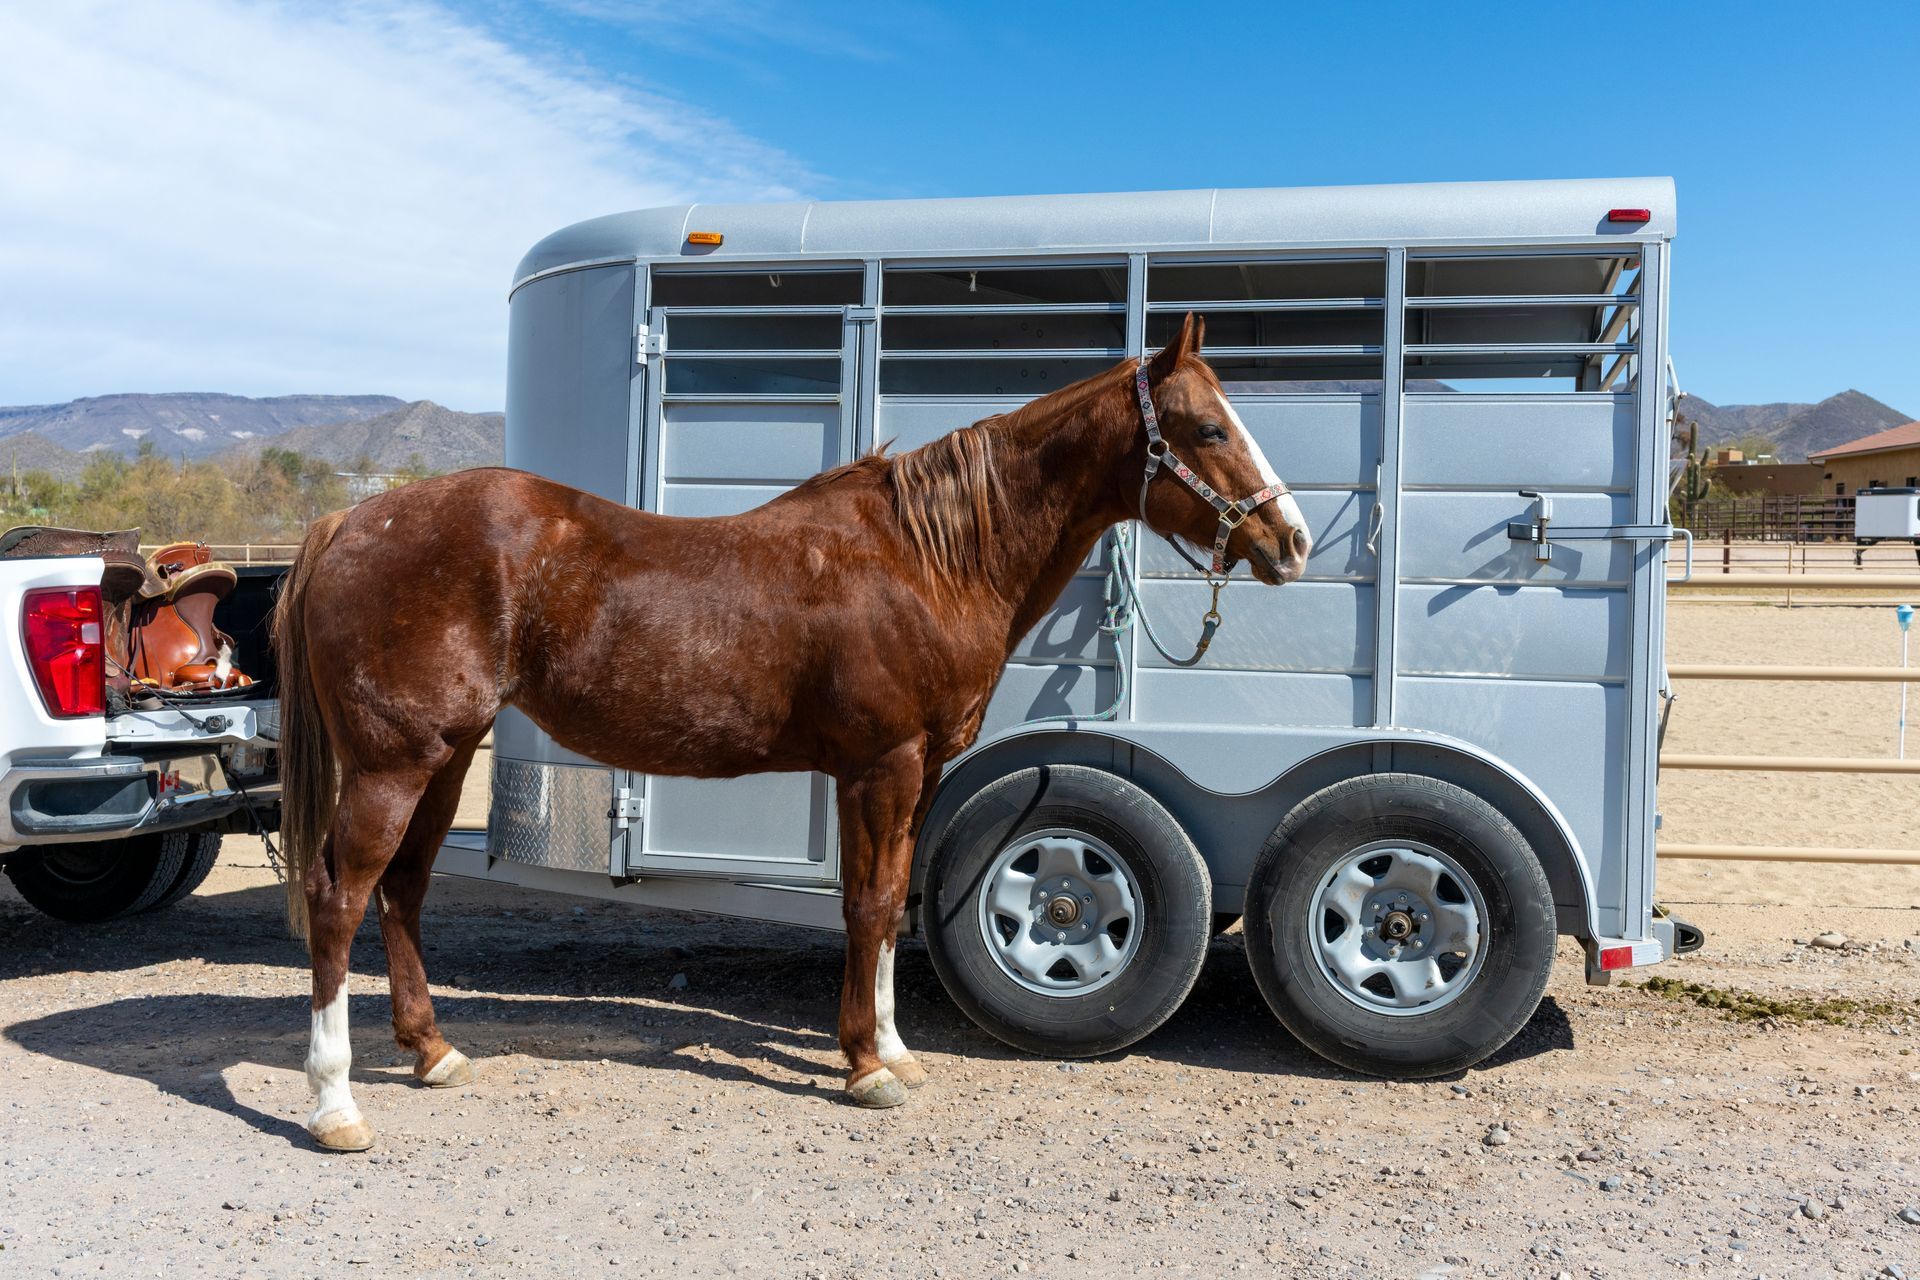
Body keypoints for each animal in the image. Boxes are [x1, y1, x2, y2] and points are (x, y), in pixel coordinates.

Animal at [272, 313, 1312, 1151]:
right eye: (1209, 428)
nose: (1293, 543)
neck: (928, 559)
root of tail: (350, 520)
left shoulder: (912, 771)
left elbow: (885, 901)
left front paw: (890, 1049)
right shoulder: (881, 766)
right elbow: (869, 906)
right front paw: (867, 1069)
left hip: (446, 759)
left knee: (402, 891)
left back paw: (434, 1052)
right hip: (392, 764)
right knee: (338, 897)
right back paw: (335, 1105)